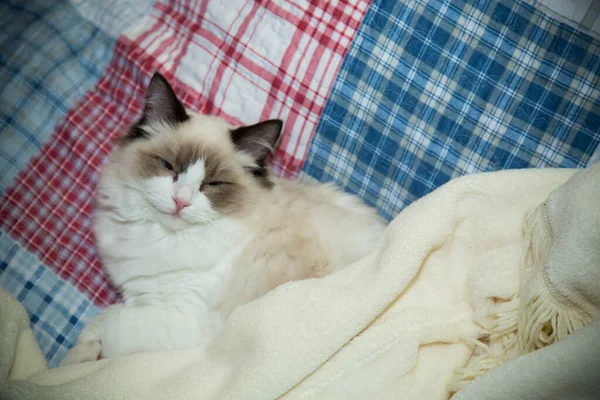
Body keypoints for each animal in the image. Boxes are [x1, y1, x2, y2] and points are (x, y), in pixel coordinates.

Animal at [59, 72, 384, 366]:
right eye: (168, 167)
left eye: (213, 184)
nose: (181, 201)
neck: (160, 237)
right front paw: (79, 357)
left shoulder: (181, 318)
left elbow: (107, 321)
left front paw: (74, 362)